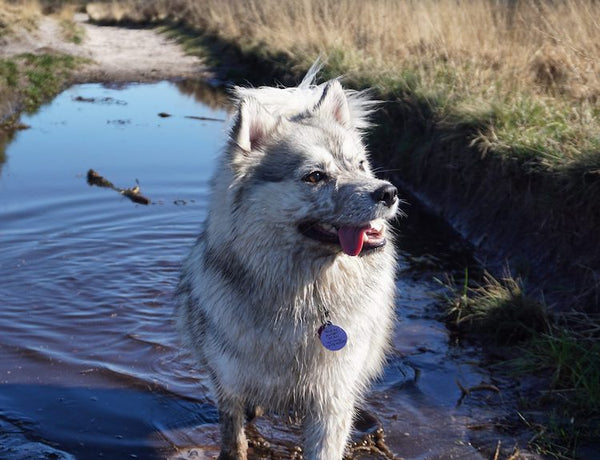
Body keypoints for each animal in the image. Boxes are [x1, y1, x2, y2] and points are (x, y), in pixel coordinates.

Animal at [173, 62, 398, 460]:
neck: (302, 297)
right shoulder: (229, 384)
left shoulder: (332, 398)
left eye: (360, 165)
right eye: (315, 176)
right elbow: (234, 438)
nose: (388, 192)